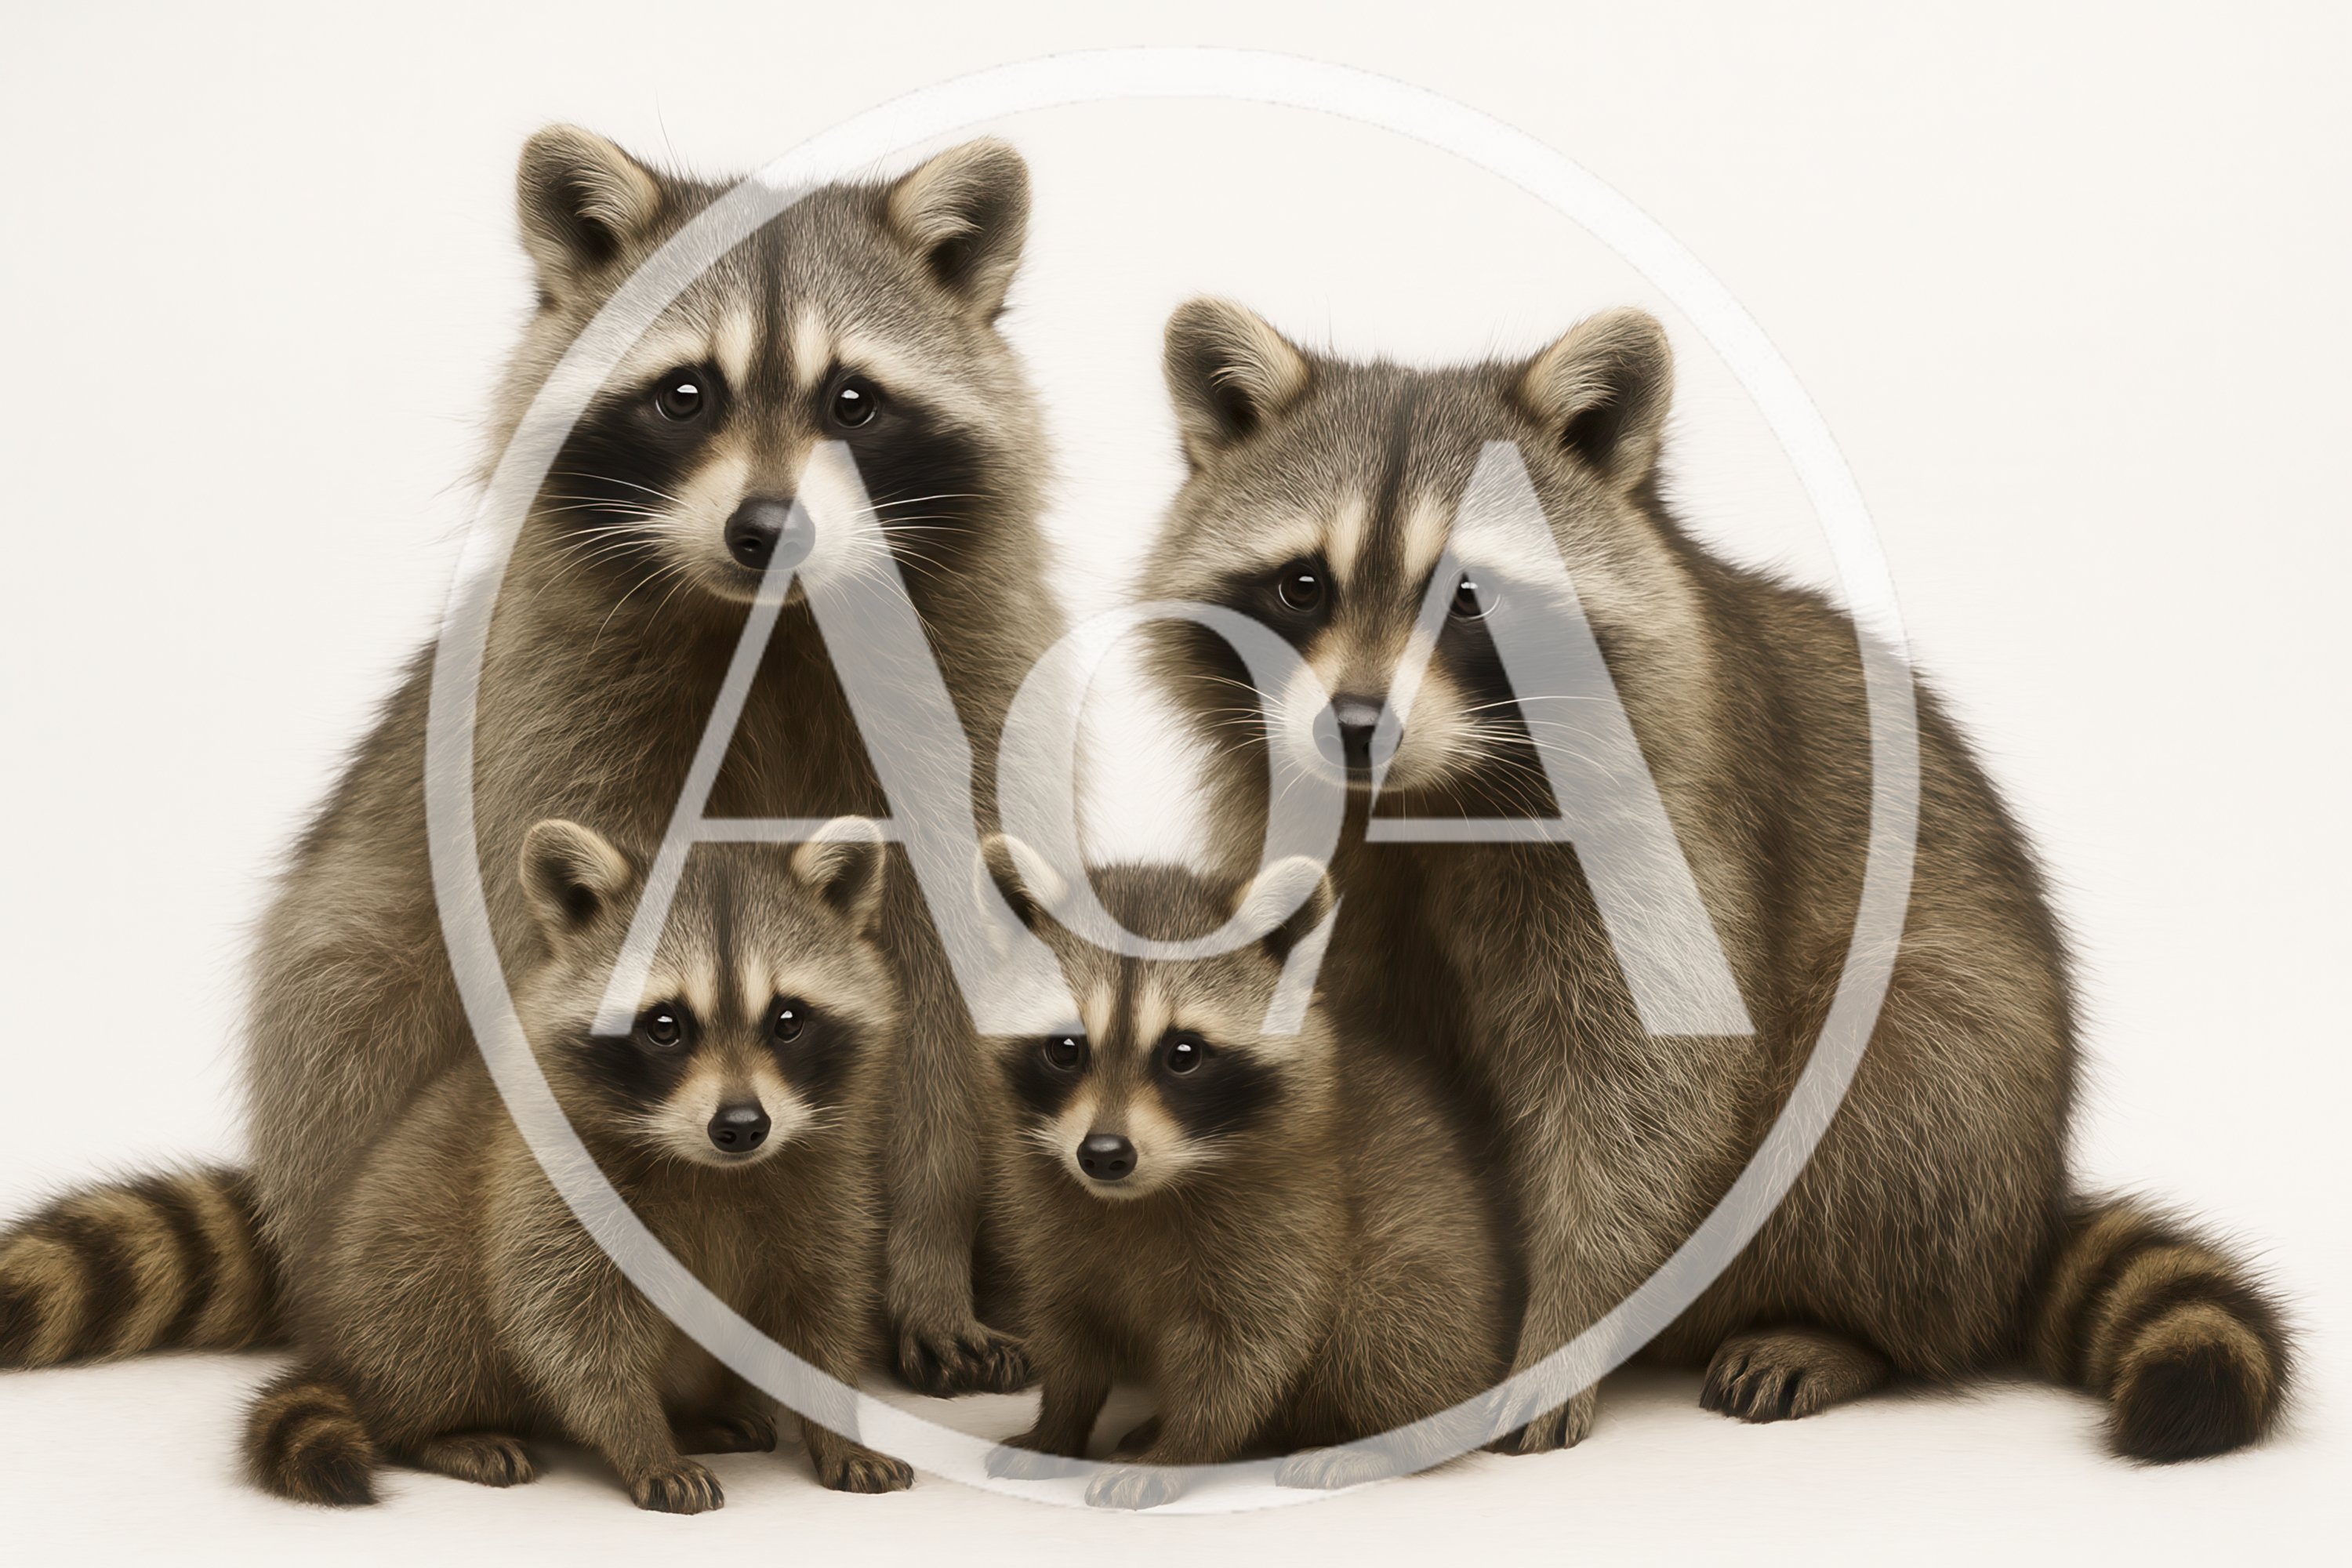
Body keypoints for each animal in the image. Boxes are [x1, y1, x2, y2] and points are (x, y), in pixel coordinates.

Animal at [0, 126, 1059, 1395]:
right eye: (685, 394)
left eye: (852, 401)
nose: (768, 530)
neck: (771, 619)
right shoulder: (549, 703)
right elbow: (551, 958)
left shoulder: (972, 697)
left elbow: (955, 994)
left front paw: (928, 1264)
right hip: (346, 1014)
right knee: (348, 982)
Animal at [242, 817, 909, 1511]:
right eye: (664, 1026)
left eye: (788, 1020)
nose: (742, 1126)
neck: (709, 1167)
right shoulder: (553, 1184)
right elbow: (569, 1326)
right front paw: (640, 1440)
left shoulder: (825, 1186)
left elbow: (820, 1313)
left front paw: (837, 1430)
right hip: (390, 1271)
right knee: (433, 1328)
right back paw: (441, 1430)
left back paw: (694, 1416)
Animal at [975, 843, 1512, 1510]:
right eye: (1066, 1048)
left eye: (1184, 1054)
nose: (1102, 1154)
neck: (1142, 1193)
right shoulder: (1050, 1224)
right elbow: (1069, 1335)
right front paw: (1059, 1426)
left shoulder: (1287, 1223)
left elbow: (1245, 1355)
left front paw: (1181, 1449)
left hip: (1432, 1270)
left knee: (1390, 1332)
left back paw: (1378, 1445)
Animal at [1135, 298, 2292, 1463]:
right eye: (1302, 585)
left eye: (1468, 598)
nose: (1357, 727)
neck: (1422, 793)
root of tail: (2025, 1224)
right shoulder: (1292, 830)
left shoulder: (1660, 827)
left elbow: (1645, 1086)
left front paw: (1564, 1330)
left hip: (1958, 1093)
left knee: (1901, 1066)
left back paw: (1844, 1329)